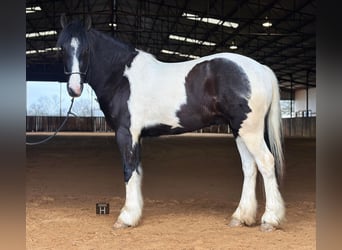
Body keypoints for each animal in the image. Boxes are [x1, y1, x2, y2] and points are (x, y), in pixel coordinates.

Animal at [57, 16, 284, 232]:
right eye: (62, 48)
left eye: (86, 49)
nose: (74, 88)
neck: (121, 76)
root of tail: (260, 69)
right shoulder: (137, 136)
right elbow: (137, 171)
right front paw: (135, 214)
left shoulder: (126, 133)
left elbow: (129, 170)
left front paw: (126, 218)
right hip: (239, 130)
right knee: (249, 167)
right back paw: (241, 217)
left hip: (250, 131)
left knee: (266, 163)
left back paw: (270, 220)